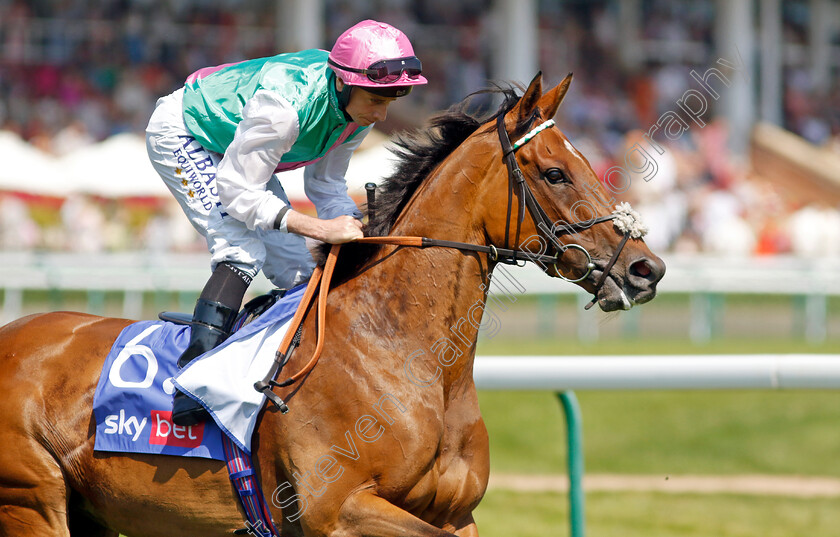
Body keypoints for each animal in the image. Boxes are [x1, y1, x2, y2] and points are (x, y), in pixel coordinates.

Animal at [3, 72, 668, 536]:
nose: (646, 269)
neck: (400, 353)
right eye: (555, 173)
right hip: (32, 504)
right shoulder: (339, 508)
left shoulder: (456, 514)